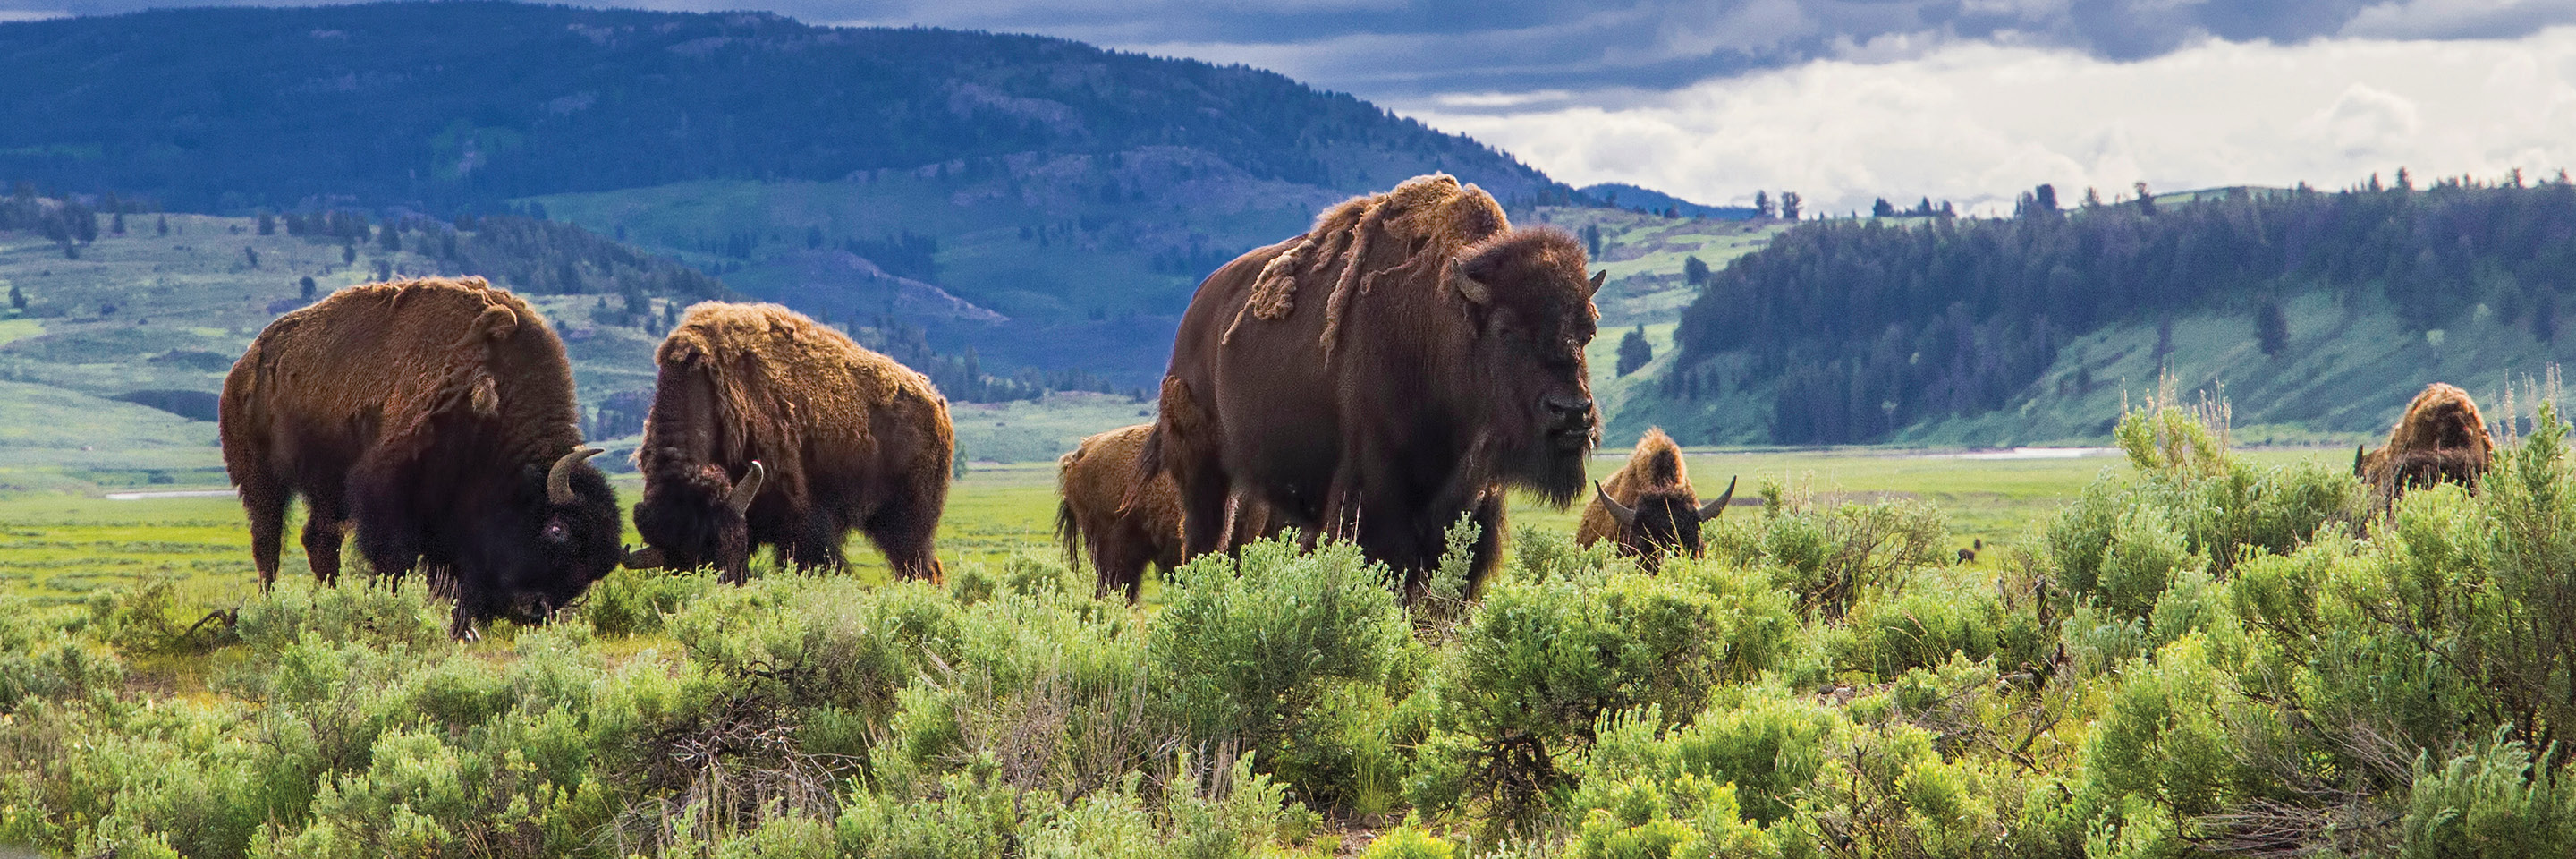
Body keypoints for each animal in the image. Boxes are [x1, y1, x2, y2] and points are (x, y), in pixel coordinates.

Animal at [623, 300, 958, 583]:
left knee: (919, 565)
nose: (724, 584)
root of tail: (935, 400)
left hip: (908, 520)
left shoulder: (799, 520)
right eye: (675, 567)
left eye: (727, 549)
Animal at [1143, 174, 1597, 595]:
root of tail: (1197, 309)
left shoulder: (1472, 504)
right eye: (1506, 331)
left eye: (1587, 330)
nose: (1573, 412)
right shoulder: (1374, 494)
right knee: (1204, 536)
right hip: (1204, 470)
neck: (1444, 325)